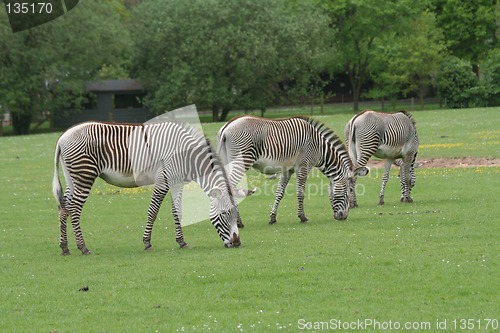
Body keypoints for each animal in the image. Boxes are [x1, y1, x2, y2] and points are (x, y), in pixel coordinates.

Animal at [53, 120, 241, 254]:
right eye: (225, 214)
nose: (237, 243)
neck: (187, 154)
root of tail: (62, 138)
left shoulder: (177, 182)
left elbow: (177, 212)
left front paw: (182, 242)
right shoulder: (163, 180)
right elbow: (153, 211)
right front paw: (147, 242)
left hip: (73, 178)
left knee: (64, 208)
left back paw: (65, 247)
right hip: (85, 175)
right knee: (74, 209)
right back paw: (83, 247)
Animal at [217, 114, 370, 223]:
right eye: (348, 191)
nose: (343, 217)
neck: (320, 149)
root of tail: (227, 127)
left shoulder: (287, 169)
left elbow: (279, 193)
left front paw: (273, 217)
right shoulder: (303, 166)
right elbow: (300, 193)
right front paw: (302, 217)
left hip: (229, 161)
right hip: (242, 160)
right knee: (230, 187)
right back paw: (238, 221)